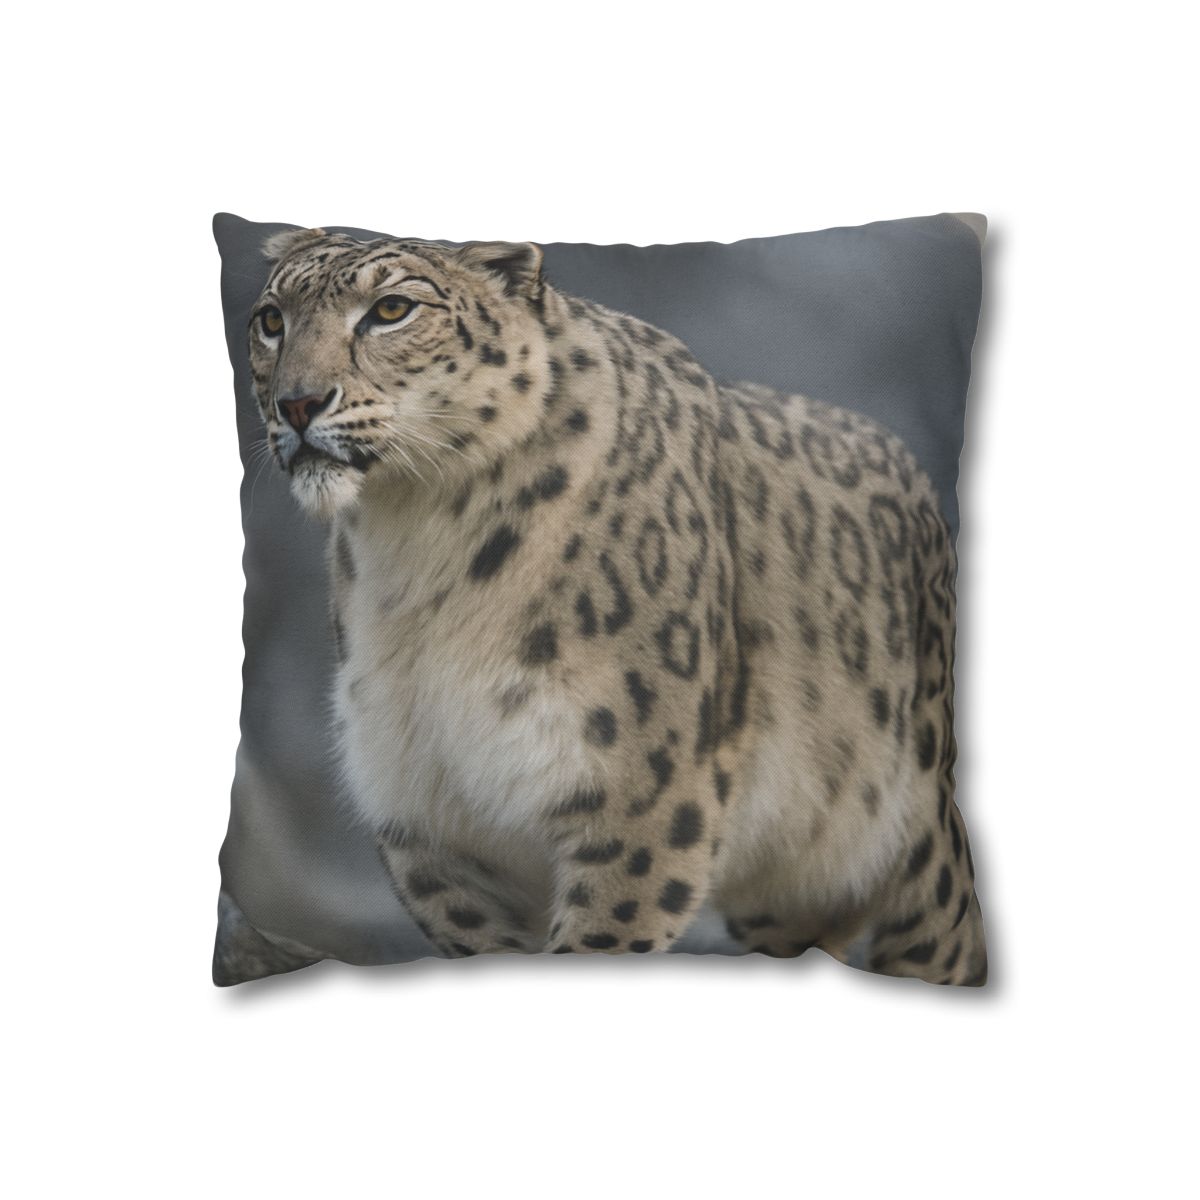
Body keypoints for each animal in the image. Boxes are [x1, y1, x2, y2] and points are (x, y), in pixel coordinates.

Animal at [246, 226, 987, 985]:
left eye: (392, 309)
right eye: (271, 320)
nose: (297, 403)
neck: (416, 548)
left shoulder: (639, 797)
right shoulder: (430, 819)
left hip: (924, 858)